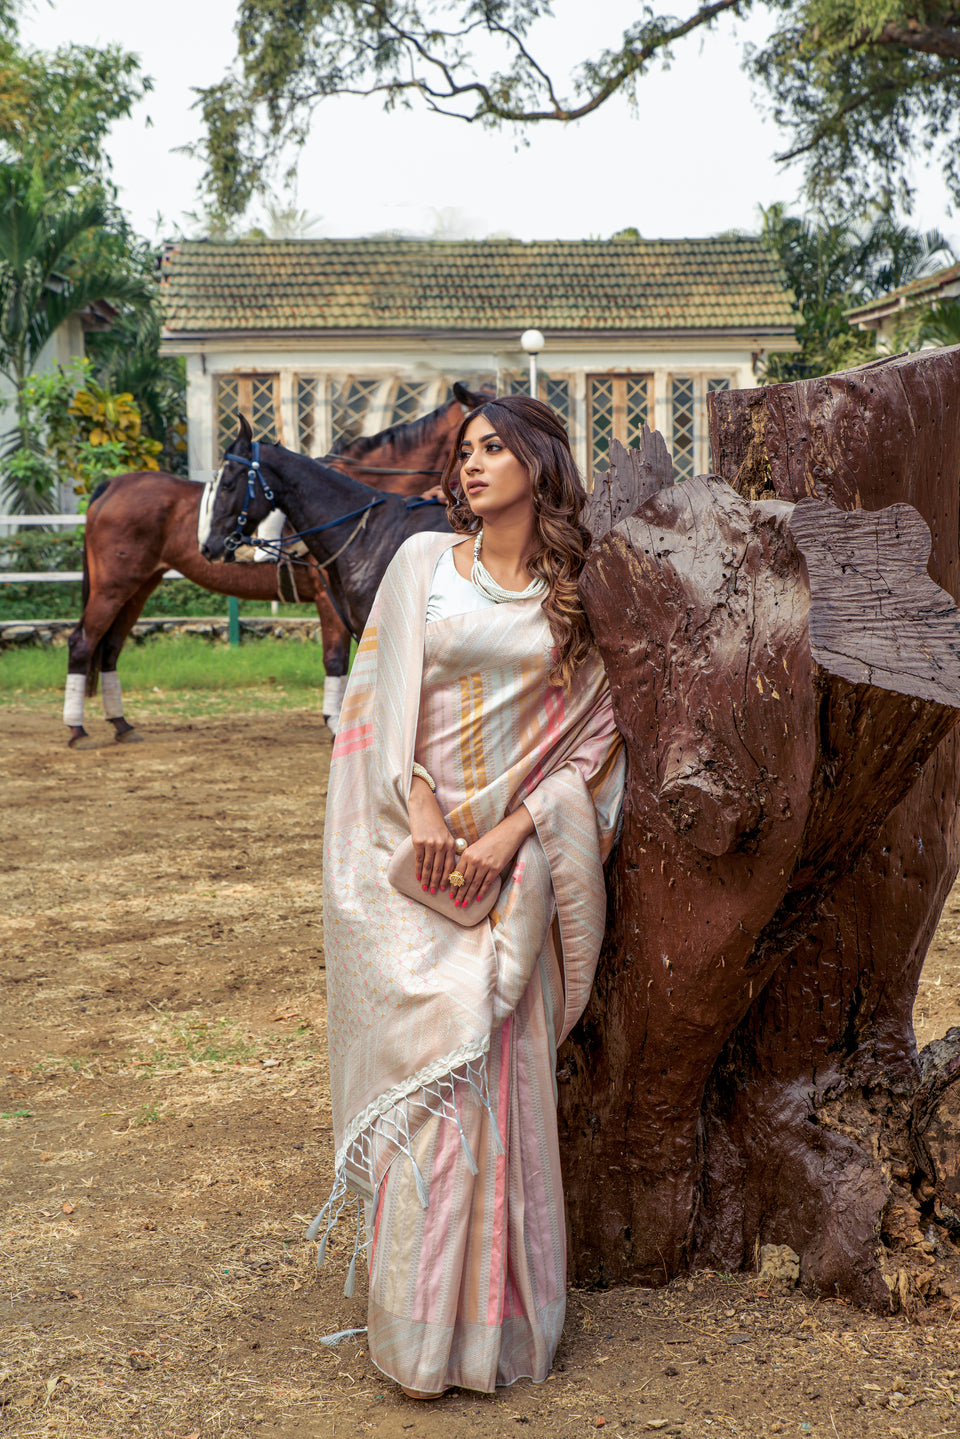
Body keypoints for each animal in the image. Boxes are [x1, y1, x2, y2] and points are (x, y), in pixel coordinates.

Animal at [63, 385, 483, 742]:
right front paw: (335, 722)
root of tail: (112, 485)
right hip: (114, 585)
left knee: (110, 645)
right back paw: (77, 728)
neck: (366, 523)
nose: (209, 545)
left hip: (139, 586)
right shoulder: (330, 602)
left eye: (227, 483)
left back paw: (120, 723)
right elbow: (335, 660)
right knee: (83, 641)